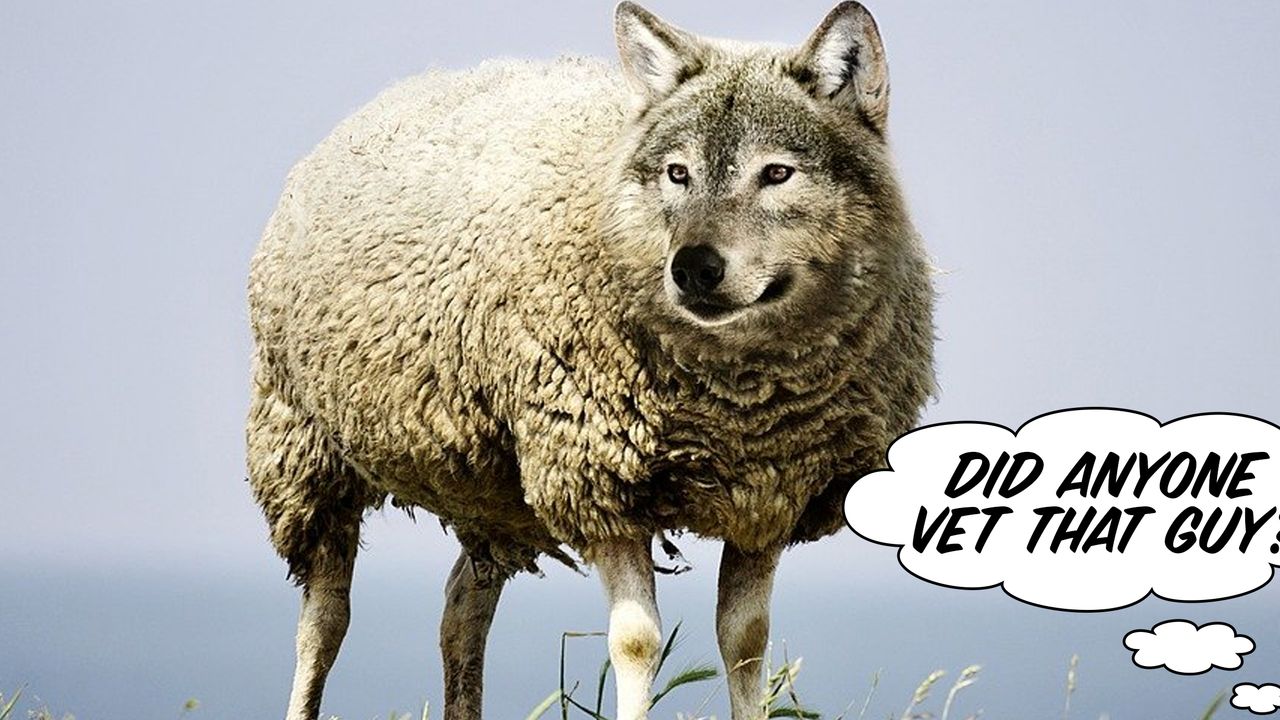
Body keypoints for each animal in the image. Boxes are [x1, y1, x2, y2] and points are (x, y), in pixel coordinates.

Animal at [247, 2, 934, 719]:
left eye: (777, 173)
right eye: (677, 172)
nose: (693, 268)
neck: (738, 403)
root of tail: (405, 88)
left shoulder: (770, 496)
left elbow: (747, 642)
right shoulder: (596, 479)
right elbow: (636, 643)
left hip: (492, 492)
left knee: (462, 607)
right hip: (302, 447)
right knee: (325, 618)